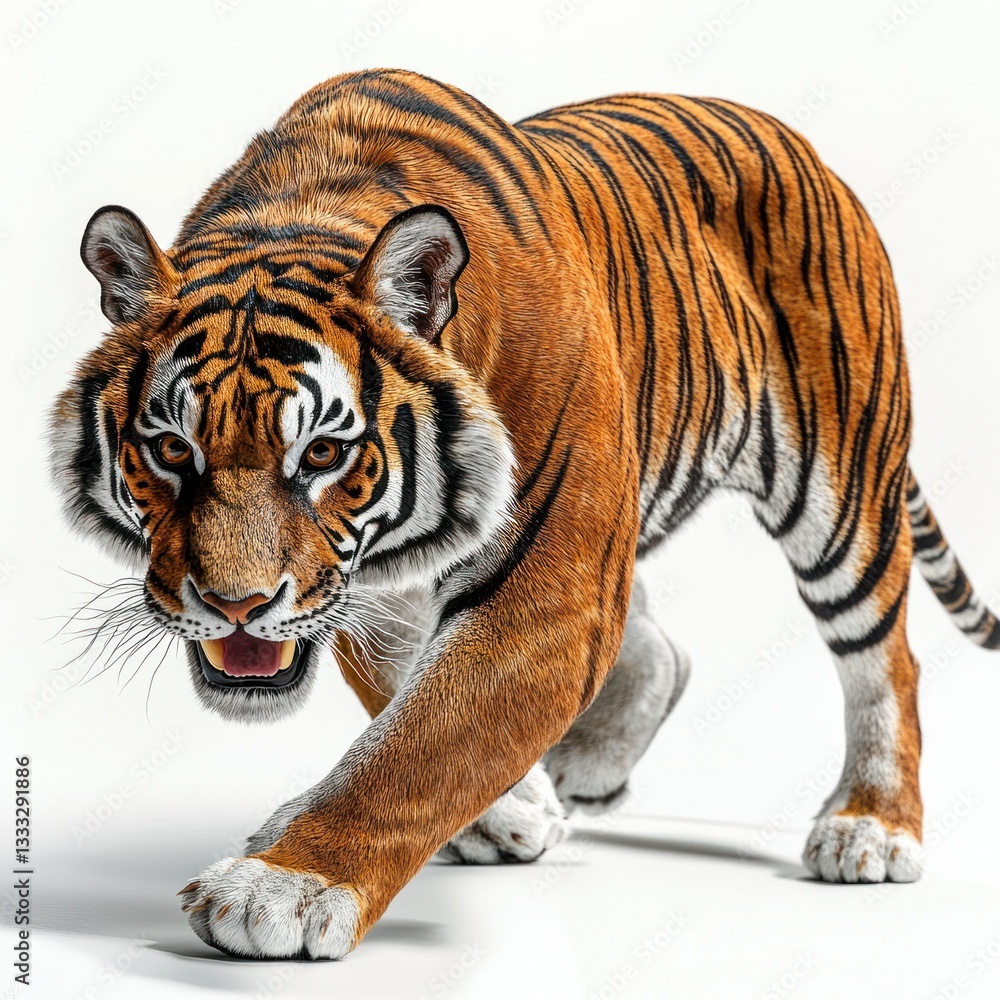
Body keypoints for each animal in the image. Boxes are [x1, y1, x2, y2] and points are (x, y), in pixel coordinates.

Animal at [50, 68, 999, 960]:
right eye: (172, 449)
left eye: (320, 454)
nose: (236, 606)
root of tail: (797, 141)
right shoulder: (384, 594)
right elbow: (411, 704)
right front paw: (515, 813)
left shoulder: (547, 589)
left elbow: (423, 742)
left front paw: (278, 886)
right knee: (664, 643)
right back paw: (589, 772)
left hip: (841, 492)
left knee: (885, 659)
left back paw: (871, 825)